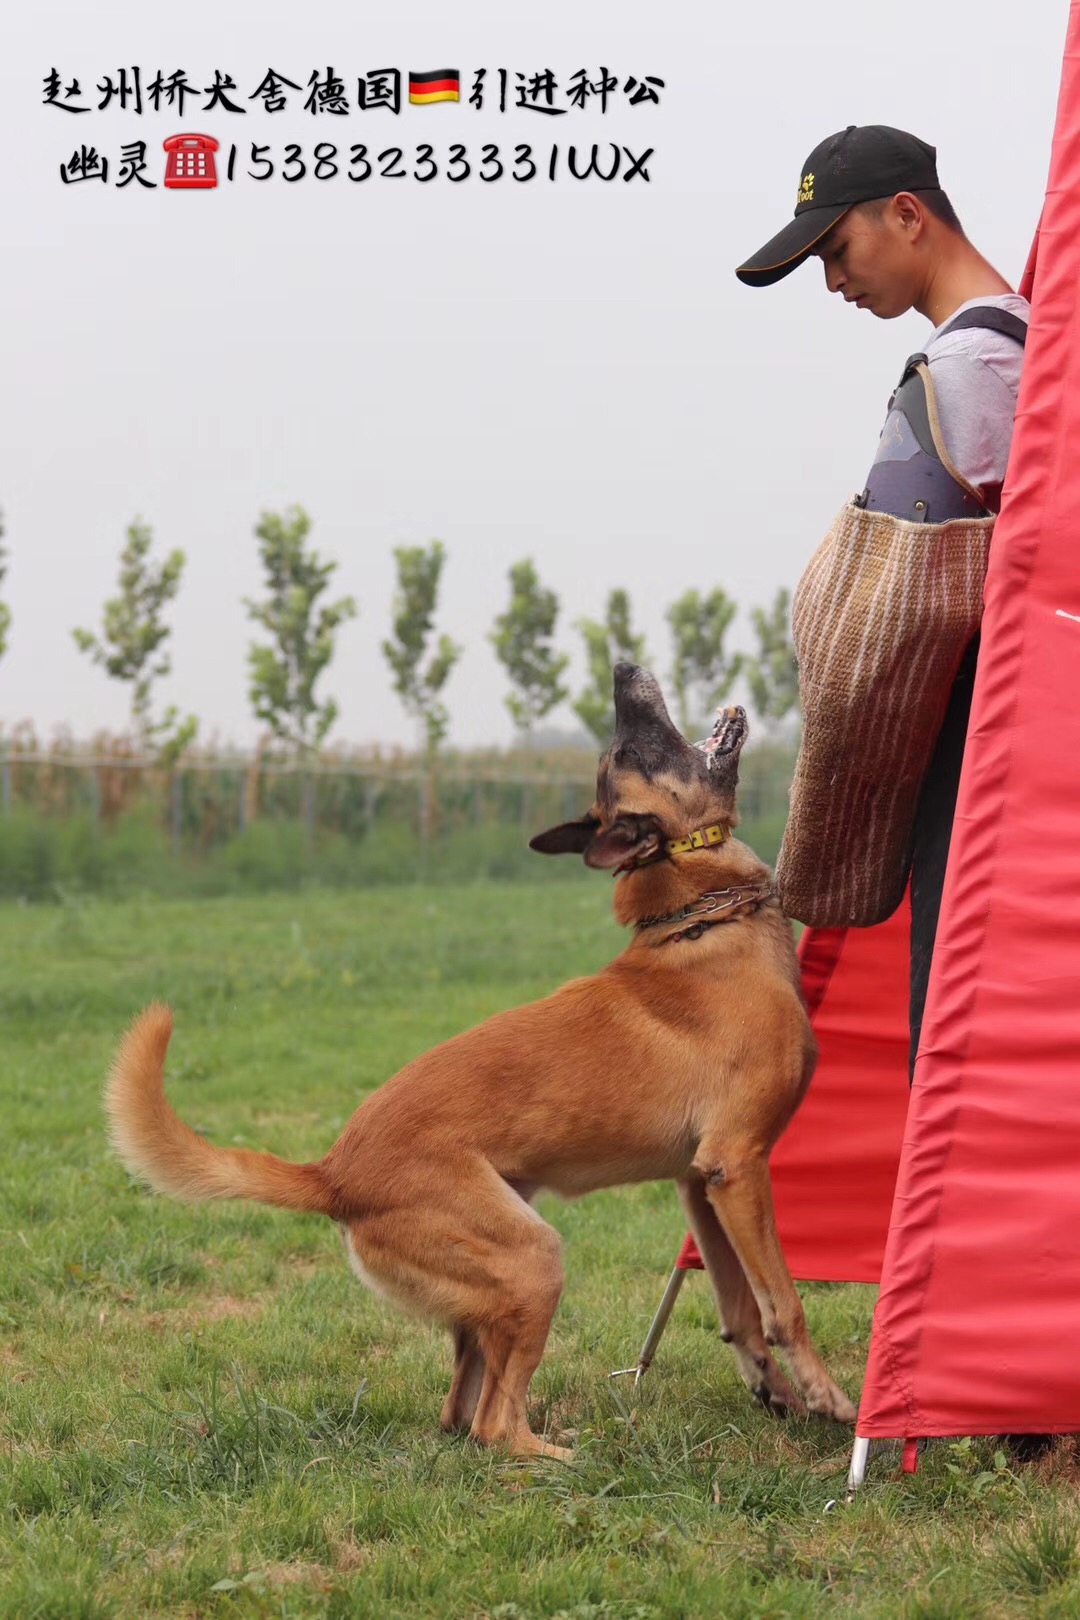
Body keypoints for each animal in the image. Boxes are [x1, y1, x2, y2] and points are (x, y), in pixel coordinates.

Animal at [105, 657, 854, 1458]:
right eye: (631, 750)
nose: (622, 668)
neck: (702, 923)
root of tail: (333, 1172)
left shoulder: (697, 1182)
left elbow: (739, 1307)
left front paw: (775, 1391)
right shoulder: (737, 1167)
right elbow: (782, 1302)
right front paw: (827, 1395)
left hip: (499, 1277)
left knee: (460, 1413)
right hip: (536, 1259)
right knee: (494, 1424)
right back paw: (563, 1457)